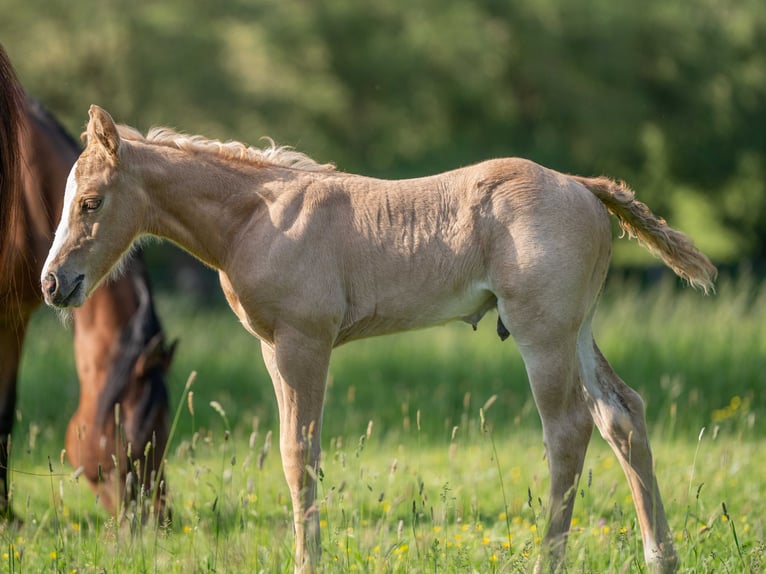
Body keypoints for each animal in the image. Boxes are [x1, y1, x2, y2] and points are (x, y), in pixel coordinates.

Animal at [42, 105, 716, 573]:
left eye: (91, 202)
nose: (53, 283)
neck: (256, 216)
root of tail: (582, 185)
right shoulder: (272, 348)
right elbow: (297, 454)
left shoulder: (302, 342)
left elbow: (298, 455)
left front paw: (306, 563)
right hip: (576, 329)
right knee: (622, 414)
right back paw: (661, 556)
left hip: (543, 334)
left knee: (569, 431)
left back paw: (547, 561)